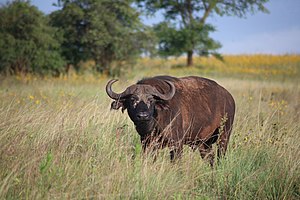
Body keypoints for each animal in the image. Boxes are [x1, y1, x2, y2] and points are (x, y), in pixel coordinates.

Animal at [106, 76, 236, 165]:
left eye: (151, 100)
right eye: (133, 100)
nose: (143, 116)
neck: (155, 124)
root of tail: (229, 97)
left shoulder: (177, 144)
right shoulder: (147, 144)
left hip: (224, 136)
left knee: (220, 155)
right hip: (204, 144)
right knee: (210, 159)